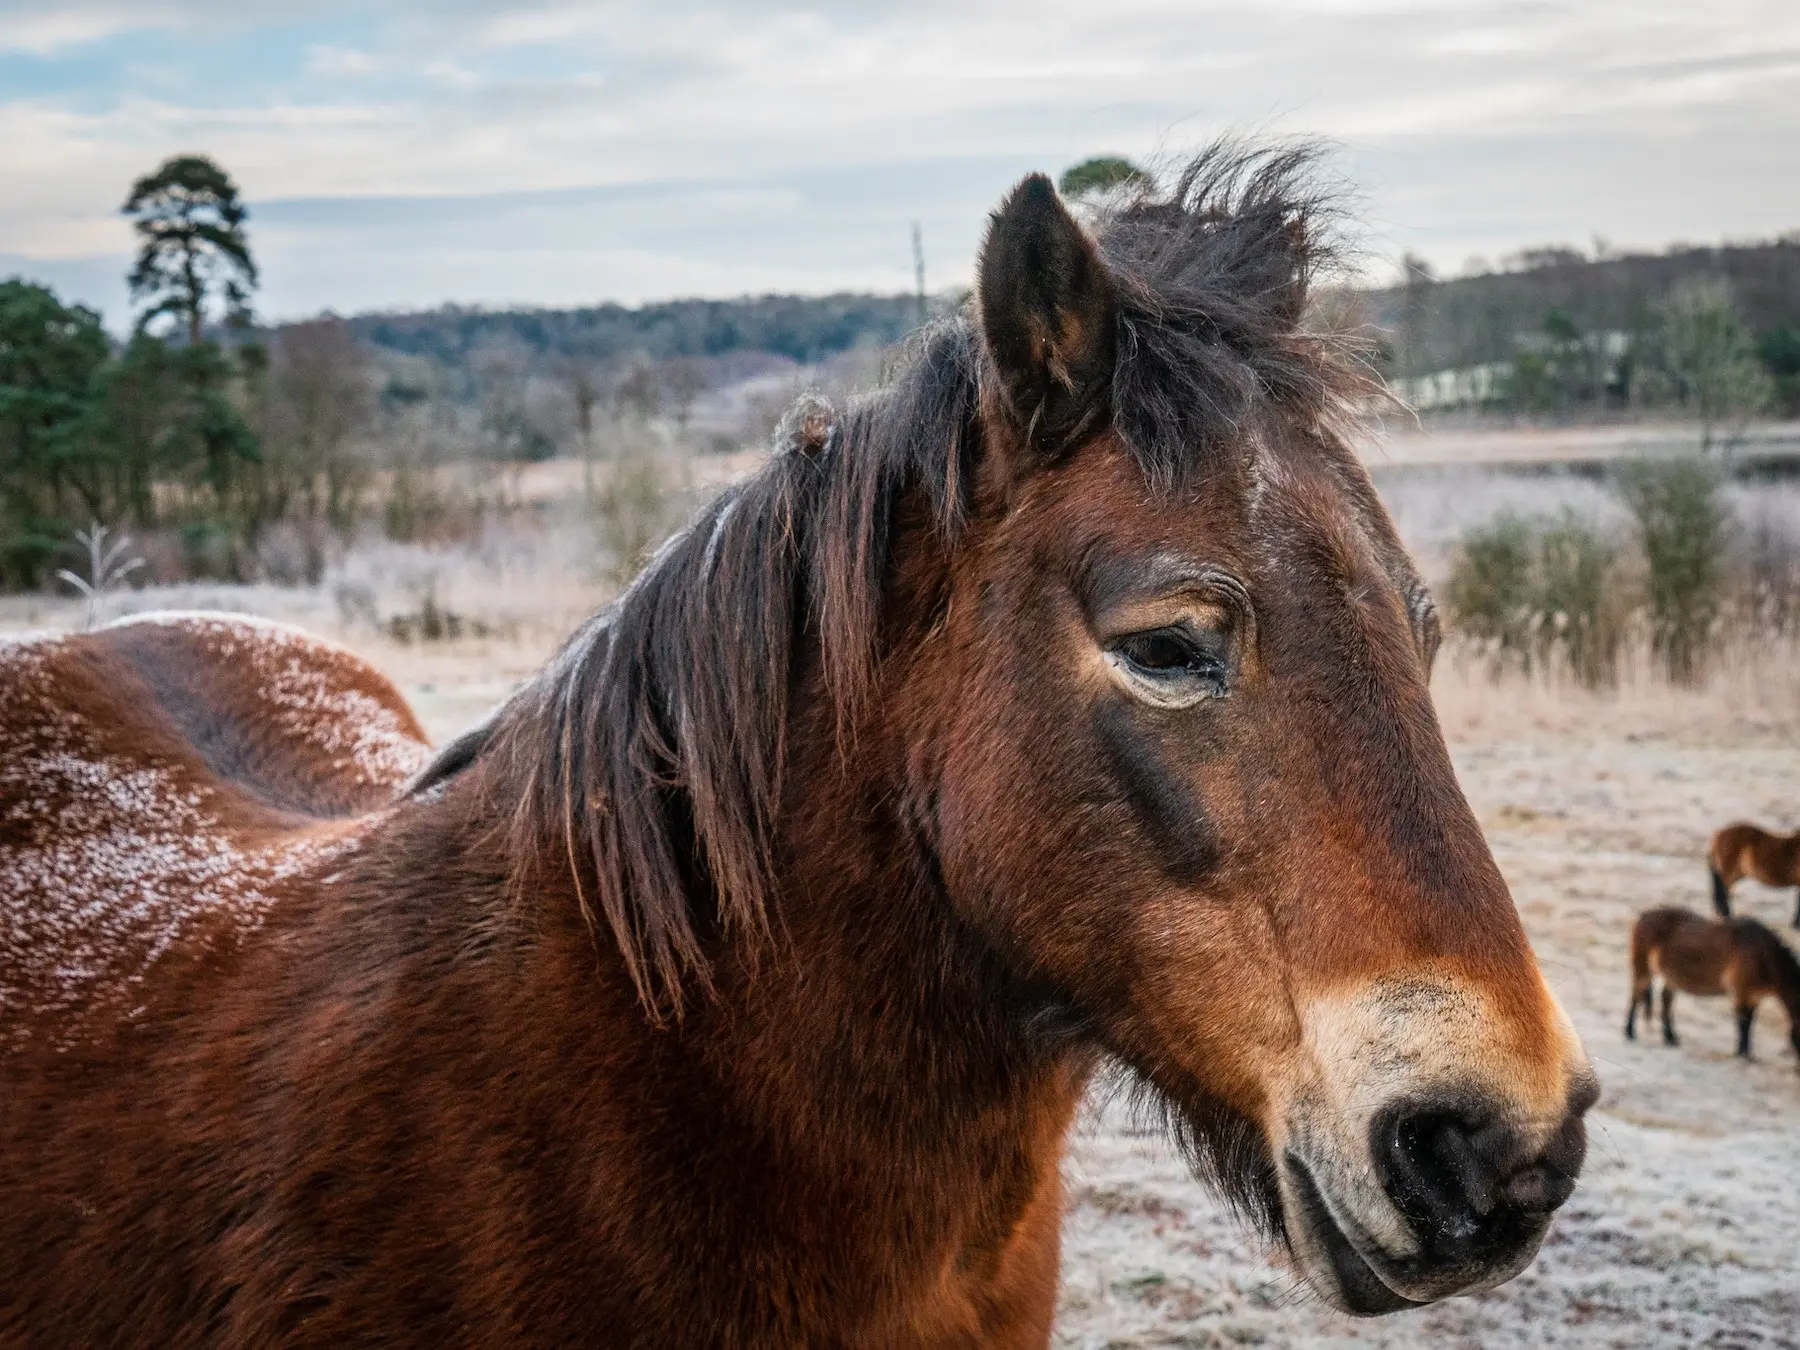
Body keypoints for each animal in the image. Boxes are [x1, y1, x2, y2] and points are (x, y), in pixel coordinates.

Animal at [1627, 910, 1800, 1065]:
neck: (1762, 953)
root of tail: (1643, 916)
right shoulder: (1741, 992)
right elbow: (1742, 1023)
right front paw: (1742, 1054)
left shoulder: (1754, 997)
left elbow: (1749, 1023)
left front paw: (1746, 1053)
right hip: (1642, 968)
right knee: (1635, 995)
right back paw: (1629, 1032)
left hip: (1670, 978)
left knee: (1665, 1002)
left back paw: (1670, 1038)